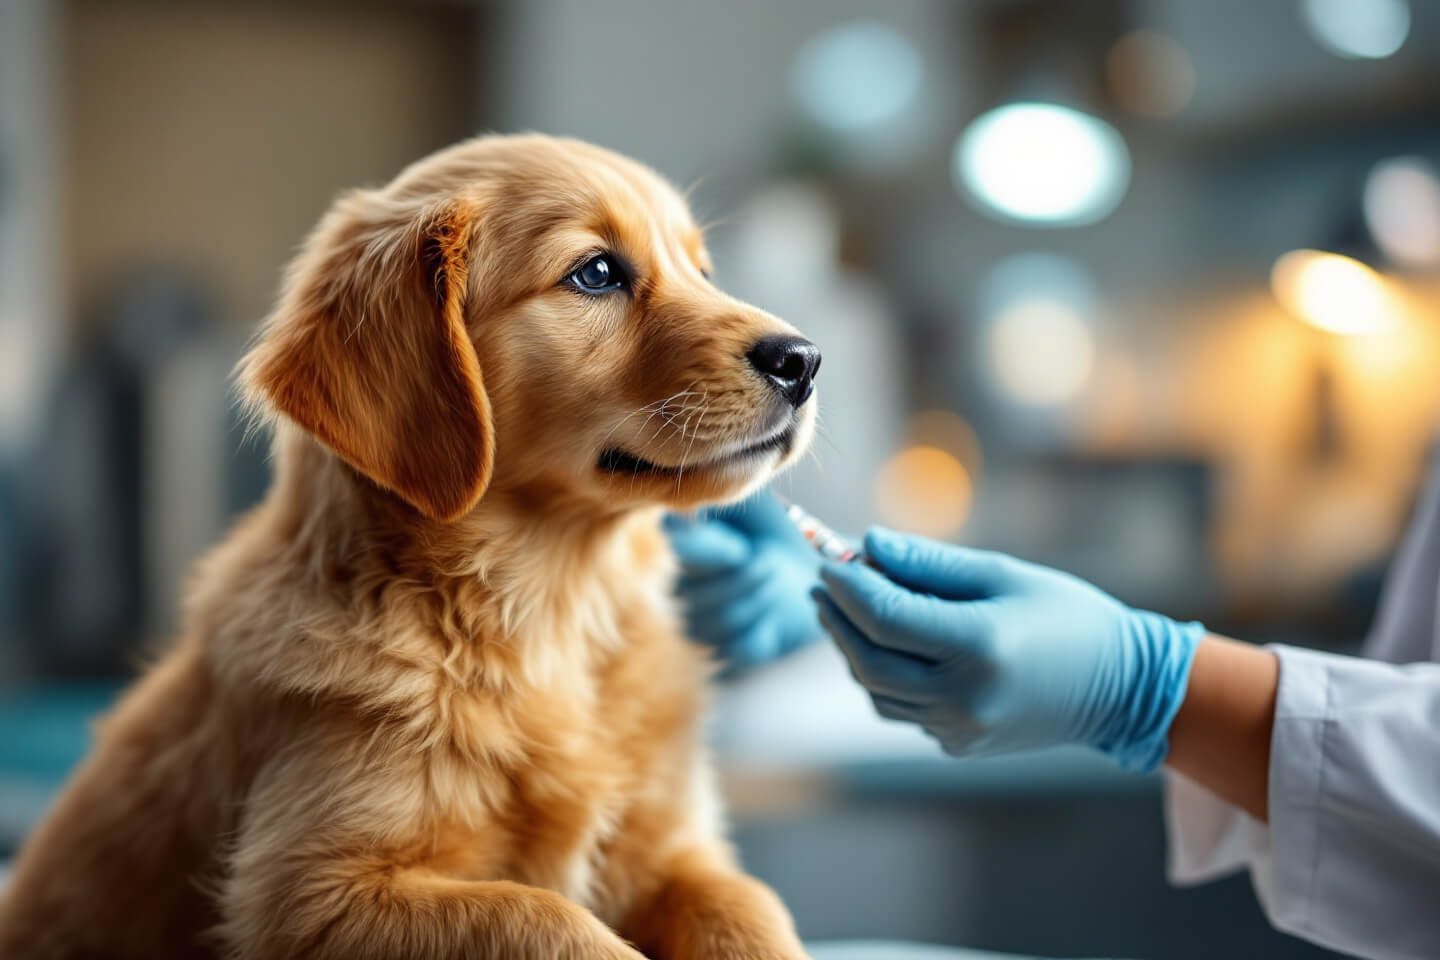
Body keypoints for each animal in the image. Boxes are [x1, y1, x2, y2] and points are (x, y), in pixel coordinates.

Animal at [0, 135, 823, 960]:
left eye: (704, 272)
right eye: (596, 273)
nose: (804, 360)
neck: (545, 612)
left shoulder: (672, 848)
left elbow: (747, 905)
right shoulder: (309, 891)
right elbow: (542, 917)